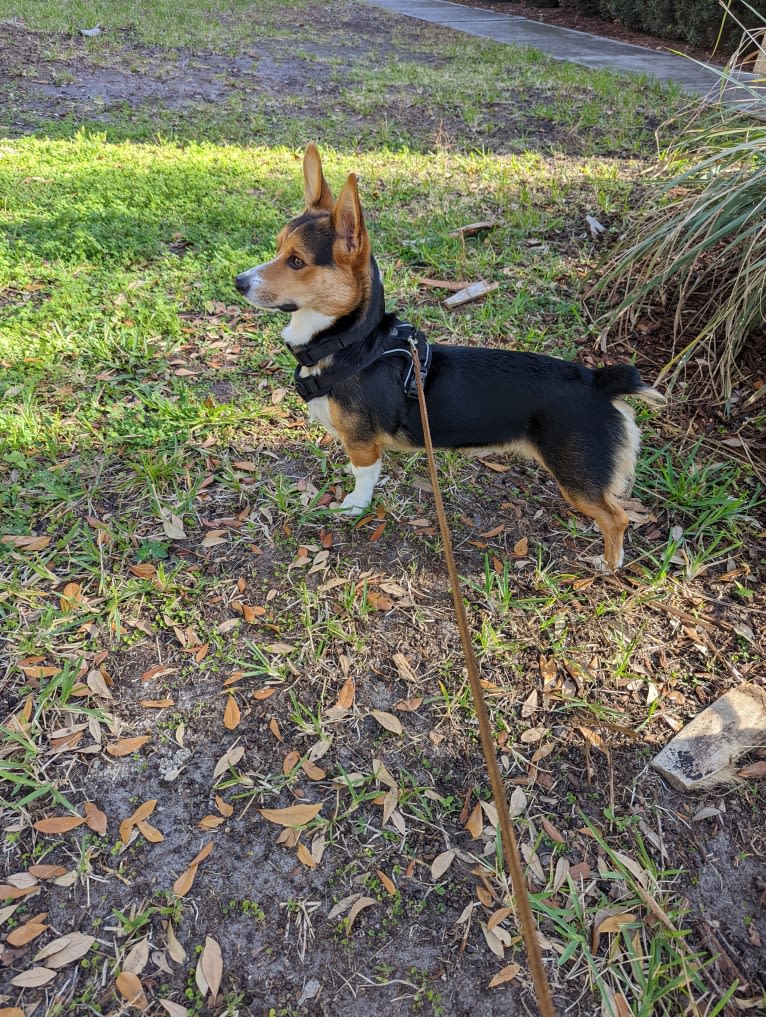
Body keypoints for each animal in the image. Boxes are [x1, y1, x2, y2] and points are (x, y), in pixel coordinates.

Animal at [234, 144, 663, 573]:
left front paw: (354, 505)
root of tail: (599, 382)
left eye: (296, 261)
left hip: (577, 479)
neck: (350, 343)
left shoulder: (363, 443)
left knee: (617, 517)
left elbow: (364, 476)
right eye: (278, 247)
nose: (238, 282)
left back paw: (609, 563)